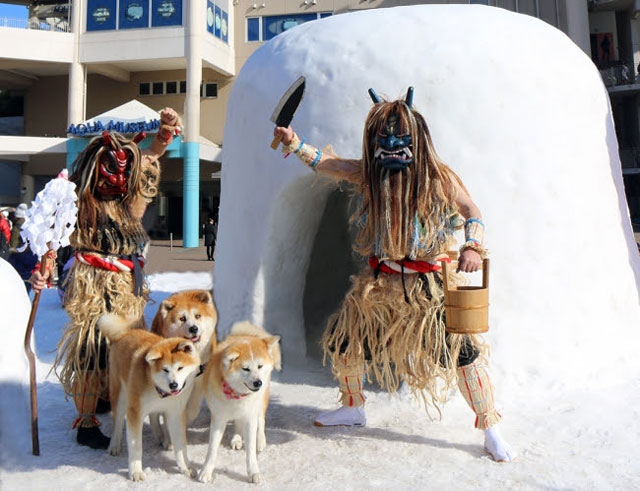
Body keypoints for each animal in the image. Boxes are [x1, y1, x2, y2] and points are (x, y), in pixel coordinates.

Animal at [98, 314, 200, 482]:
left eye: (180, 368)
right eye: (165, 370)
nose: (173, 384)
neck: (160, 391)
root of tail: (125, 333)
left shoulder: (175, 413)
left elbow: (181, 446)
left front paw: (185, 468)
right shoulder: (135, 412)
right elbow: (136, 447)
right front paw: (136, 472)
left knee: (153, 417)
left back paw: (160, 436)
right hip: (120, 396)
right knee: (117, 423)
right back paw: (114, 446)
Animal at [149, 290, 219, 448]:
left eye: (198, 316)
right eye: (182, 318)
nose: (194, 328)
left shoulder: (198, 381)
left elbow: (192, 410)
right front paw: (168, 439)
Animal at [198, 320, 280, 486]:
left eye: (260, 366)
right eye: (245, 368)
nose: (258, 383)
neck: (237, 395)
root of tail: (245, 335)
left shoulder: (250, 416)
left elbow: (251, 451)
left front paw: (254, 473)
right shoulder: (218, 419)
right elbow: (212, 449)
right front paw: (206, 471)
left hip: (260, 403)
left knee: (261, 420)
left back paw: (260, 440)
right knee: (238, 422)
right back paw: (236, 438)